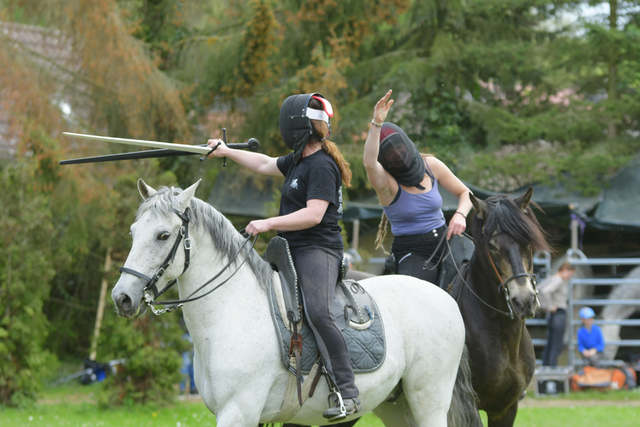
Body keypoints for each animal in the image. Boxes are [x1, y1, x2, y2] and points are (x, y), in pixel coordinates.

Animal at [111, 179, 480, 426]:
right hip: (396, 405)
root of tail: (445, 298)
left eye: (163, 235)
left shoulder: (238, 412)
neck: (232, 311)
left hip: (429, 400)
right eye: (132, 232)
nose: (122, 298)